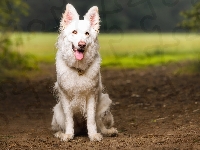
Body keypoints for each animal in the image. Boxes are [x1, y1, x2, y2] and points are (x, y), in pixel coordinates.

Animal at [50, 3, 118, 142]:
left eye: (87, 34)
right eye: (74, 32)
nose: (82, 44)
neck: (78, 69)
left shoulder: (91, 96)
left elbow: (91, 119)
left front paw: (93, 135)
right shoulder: (65, 97)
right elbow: (69, 119)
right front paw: (68, 135)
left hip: (104, 102)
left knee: (99, 124)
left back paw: (108, 132)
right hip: (57, 111)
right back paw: (60, 133)